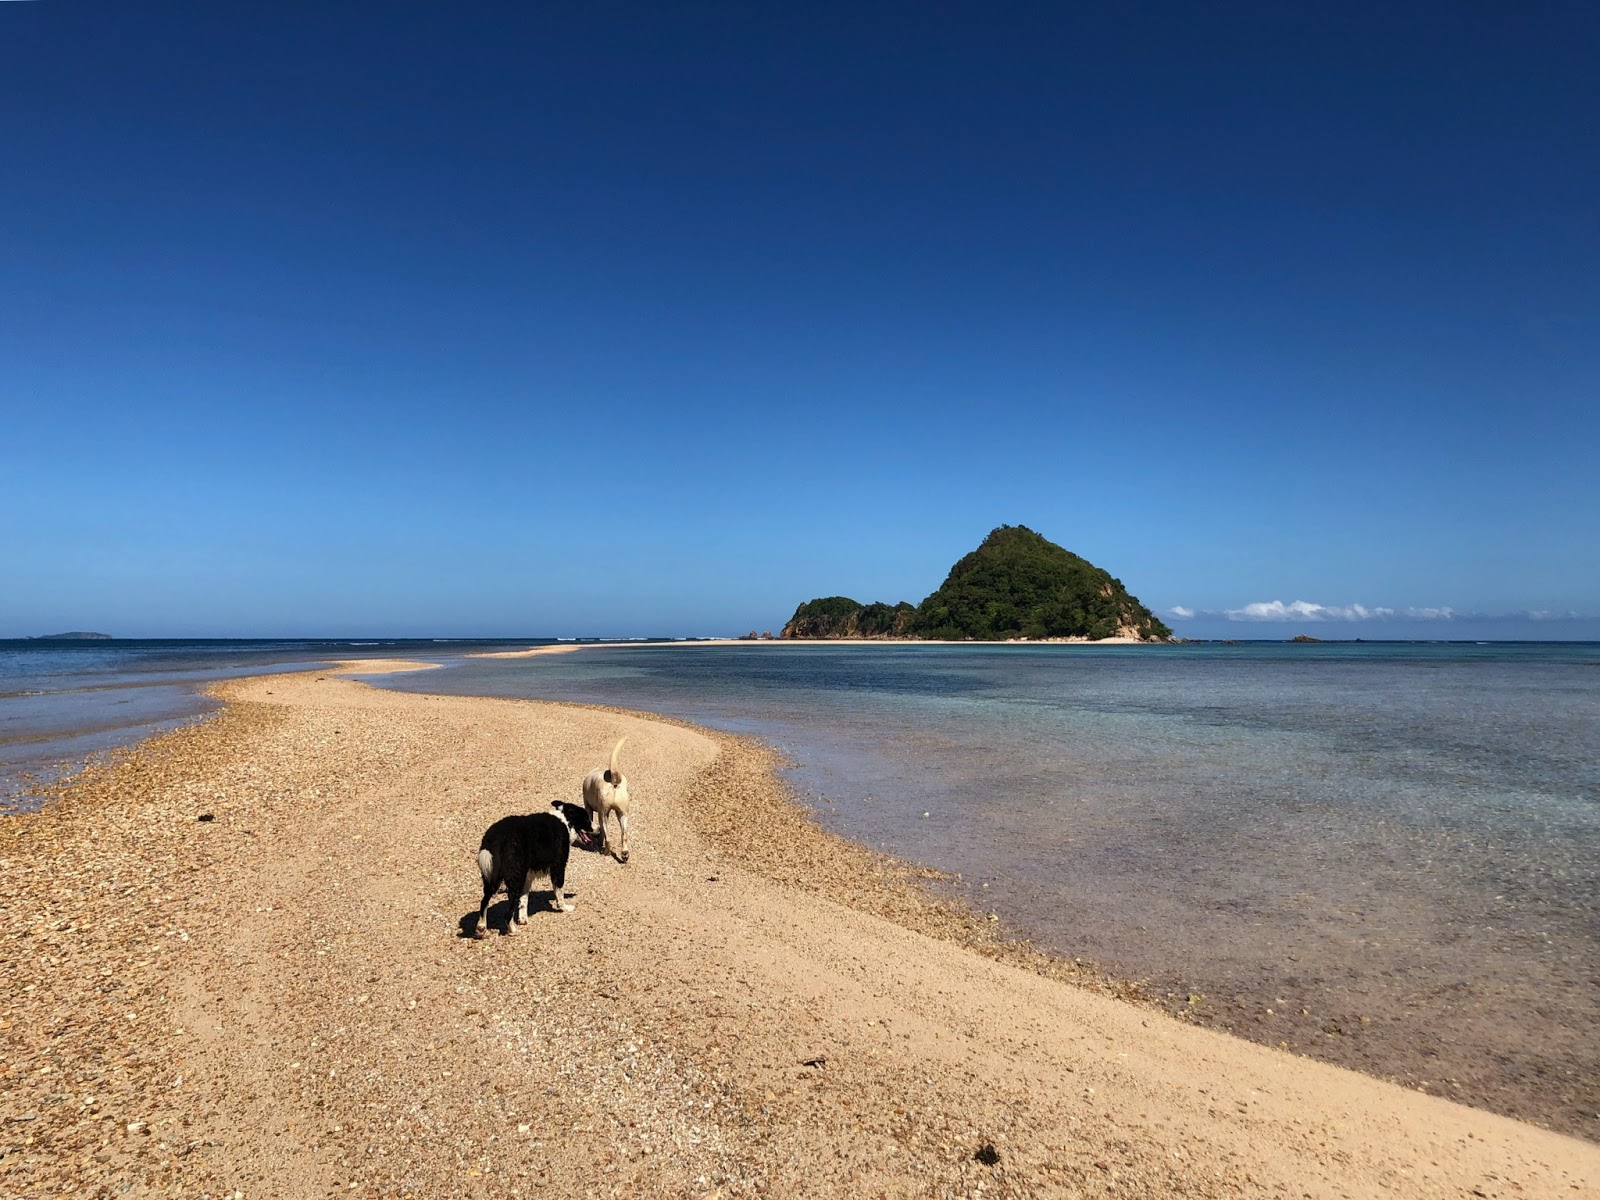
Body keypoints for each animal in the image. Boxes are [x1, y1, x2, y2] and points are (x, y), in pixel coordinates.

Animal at [476, 803, 601, 947]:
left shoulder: (528, 876)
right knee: (507, 912)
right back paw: (513, 930)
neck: (565, 821)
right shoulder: (558, 866)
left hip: (493, 877)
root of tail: (495, 837)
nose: (599, 829)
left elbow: (524, 899)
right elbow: (559, 892)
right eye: (586, 819)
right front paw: (564, 908)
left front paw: (523, 919)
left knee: (484, 901)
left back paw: (481, 928)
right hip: (515, 877)